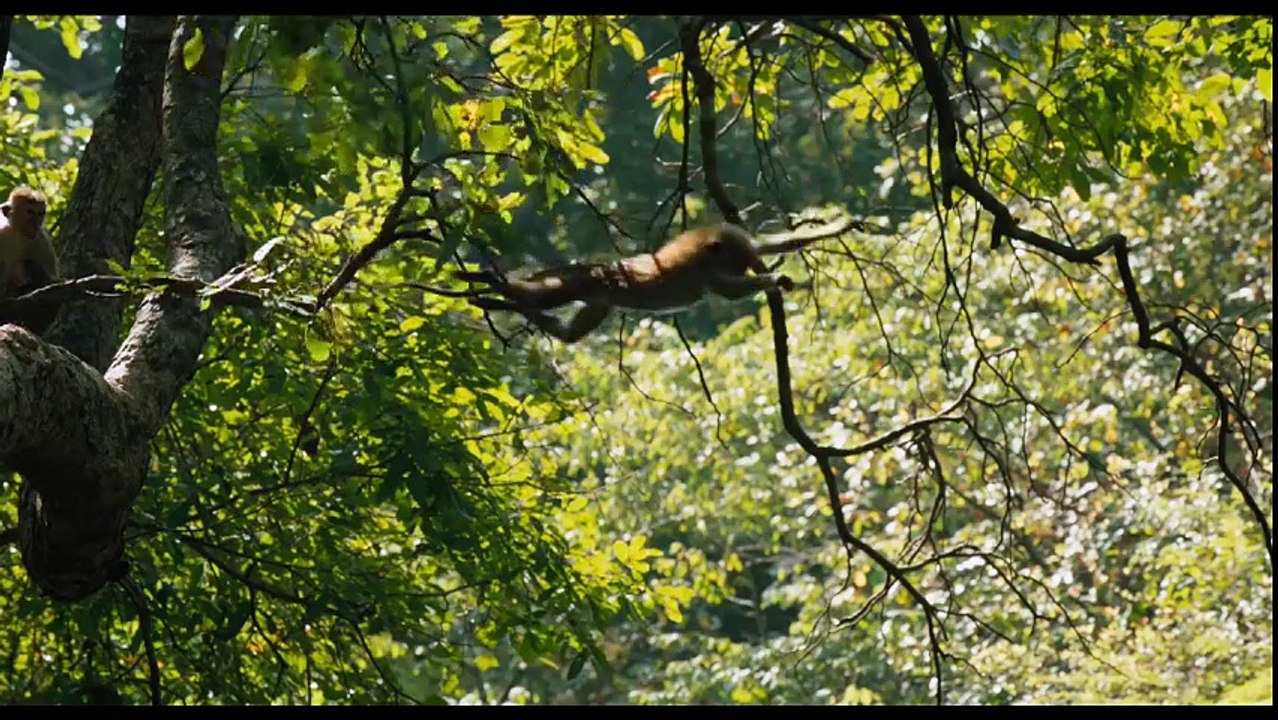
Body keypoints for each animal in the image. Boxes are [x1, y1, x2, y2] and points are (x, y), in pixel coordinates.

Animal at [0, 186, 62, 332]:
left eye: (40, 213)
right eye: (30, 212)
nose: (35, 224)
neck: (17, 234)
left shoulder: (41, 240)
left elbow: (53, 281)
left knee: (30, 265)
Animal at [457, 218, 854, 343]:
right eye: (738, 265)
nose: (750, 267)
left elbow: (777, 243)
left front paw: (839, 226)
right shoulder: (708, 269)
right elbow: (729, 291)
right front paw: (774, 276)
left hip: (597, 294)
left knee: (569, 328)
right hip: (591, 281)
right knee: (547, 295)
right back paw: (496, 289)